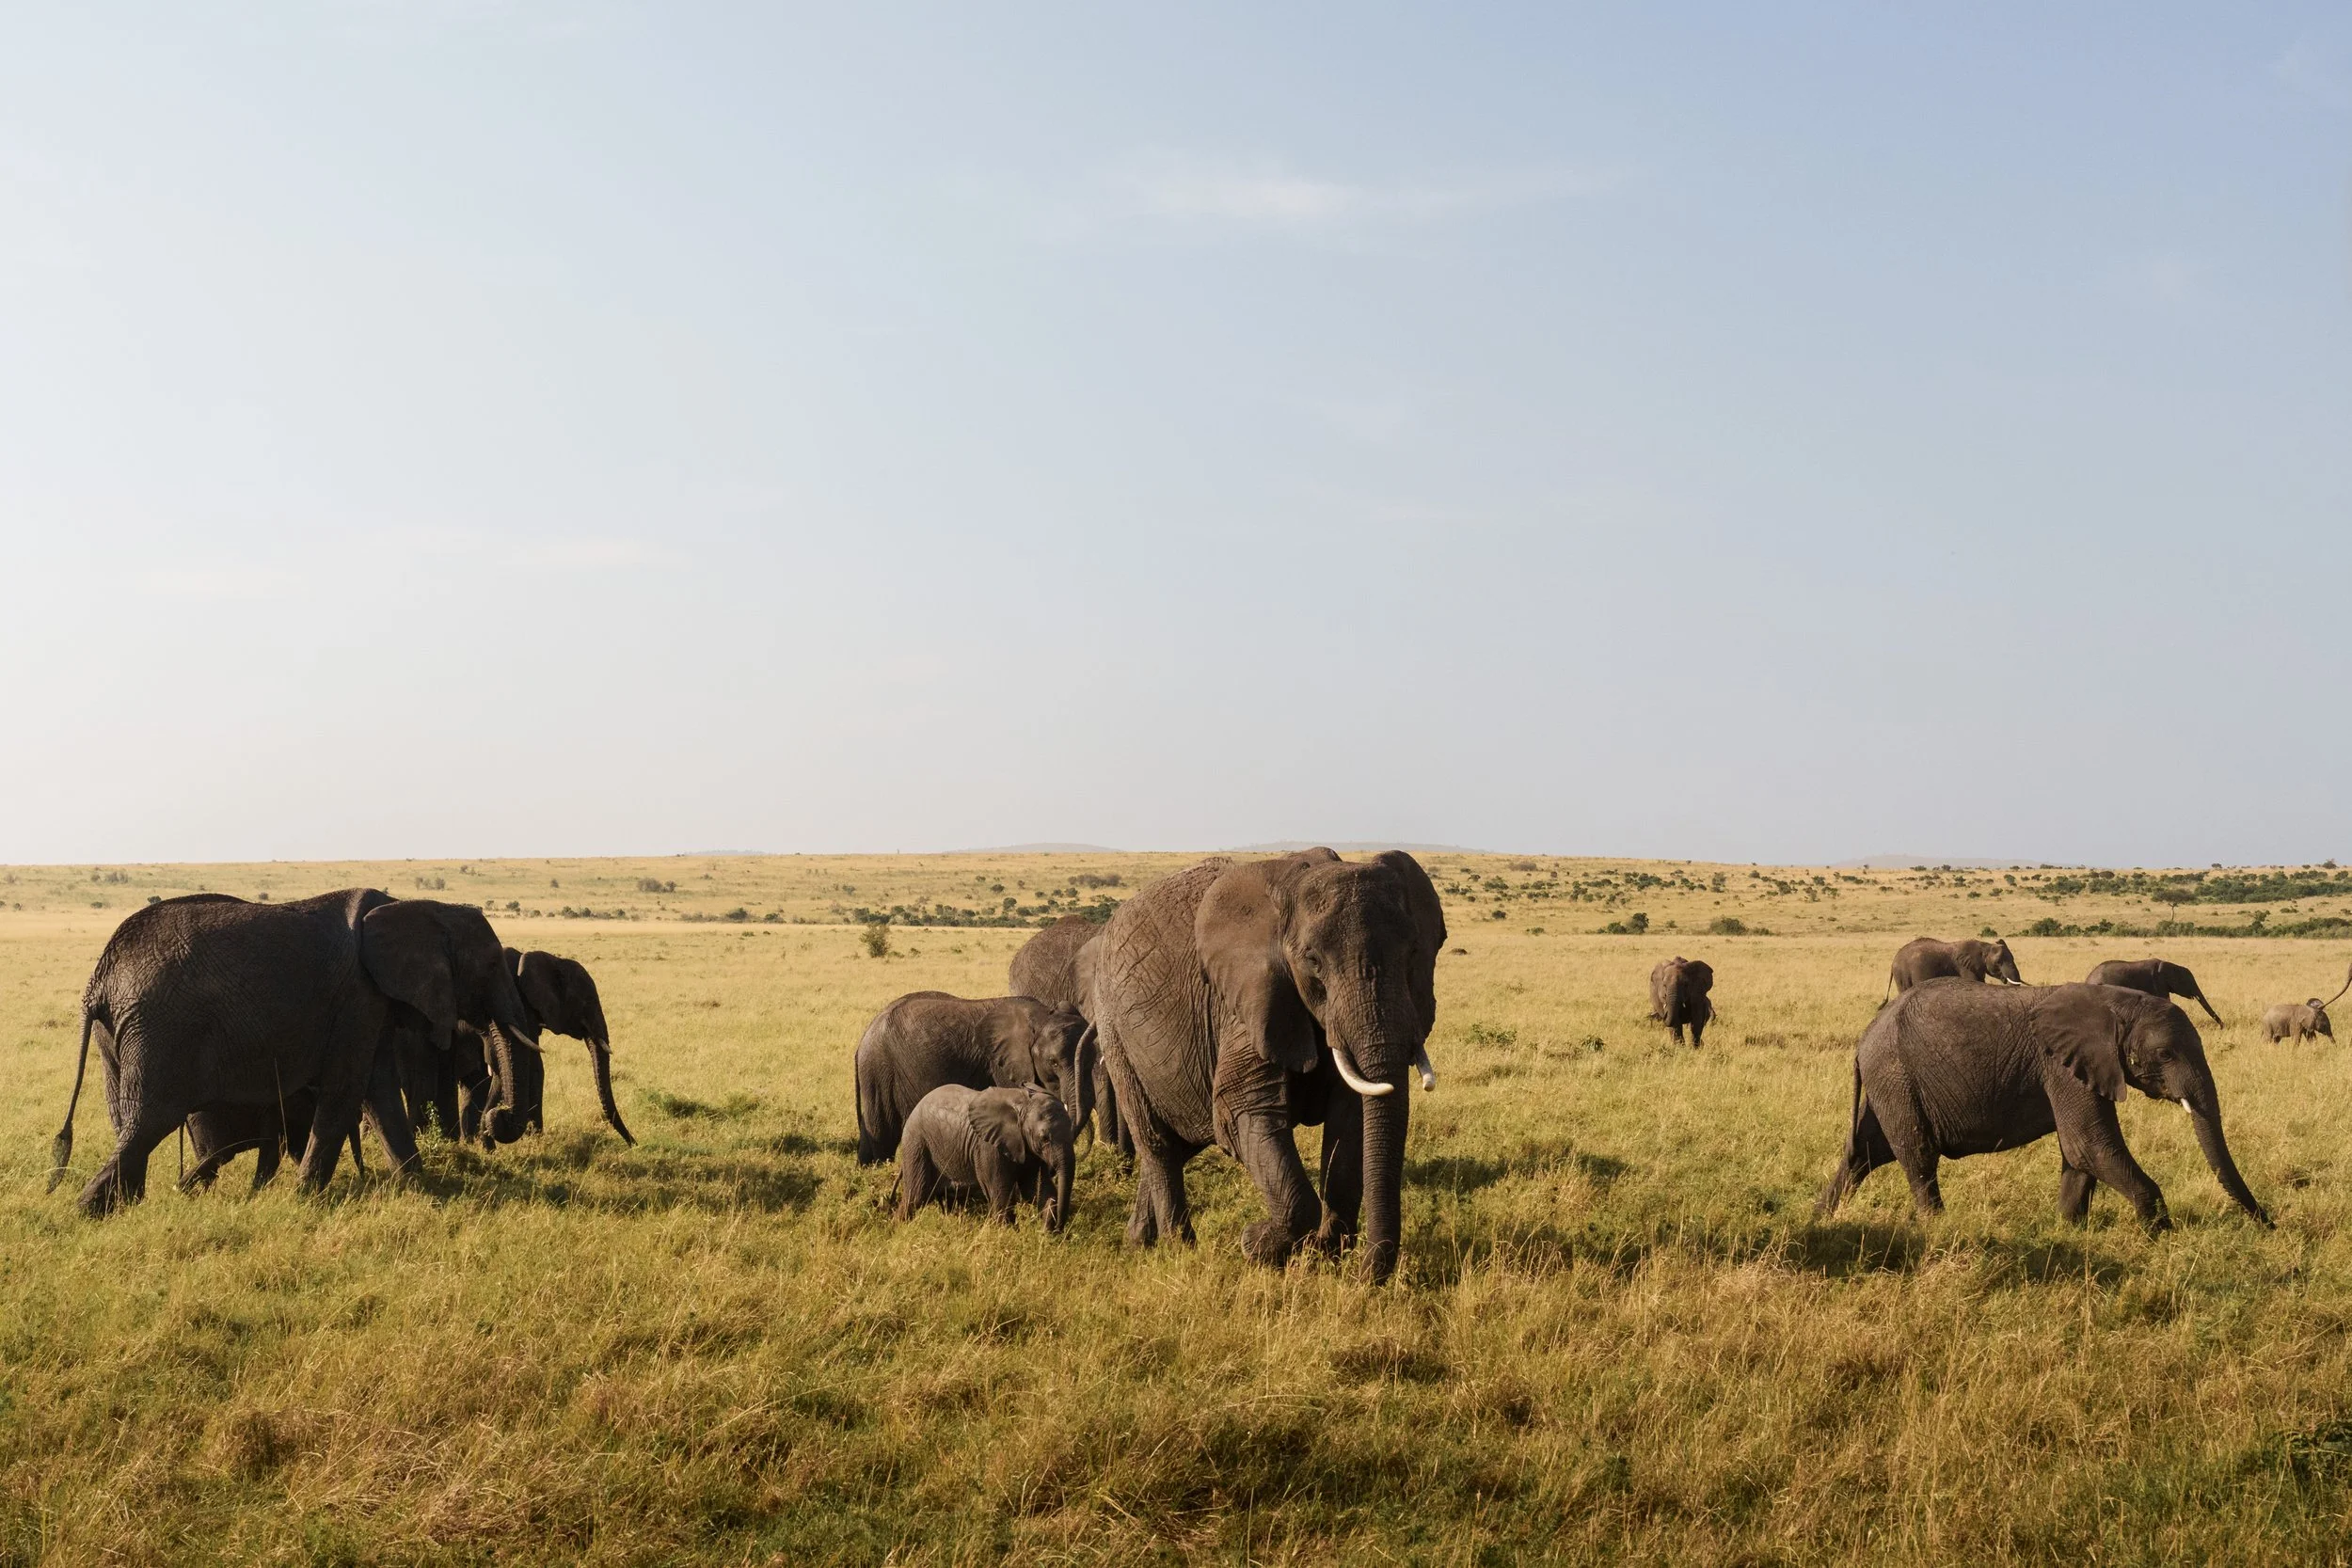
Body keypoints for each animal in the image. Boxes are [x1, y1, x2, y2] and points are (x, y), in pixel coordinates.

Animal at [53, 890, 539, 1215]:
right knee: (149, 1120)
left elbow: (377, 1091)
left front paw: (419, 1184)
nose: (498, 1122)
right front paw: (306, 1197)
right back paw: (91, 1213)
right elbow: (347, 1091)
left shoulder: (370, 1003)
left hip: (118, 1036)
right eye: (491, 965)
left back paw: (126, 1206)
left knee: (127, 1122)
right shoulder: (358, 998)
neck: (422, 907)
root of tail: (99, 980)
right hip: (159, 1031)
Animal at [853, 992, 1092, 1164]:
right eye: (1053, 1062)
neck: (1041, 1015)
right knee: (882, 1129)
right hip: (879, 1069)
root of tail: (864, 1036)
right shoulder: (1000, 1064)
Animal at [894, 1083, 1075, 1231]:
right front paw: (1007, 1235)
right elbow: (1000, 1193)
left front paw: (1046, 1232)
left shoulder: (1030, 1150)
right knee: (915, 1196)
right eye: (1044, 1138)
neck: (1021, 1104)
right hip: (917, 1144)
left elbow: (1036, 1188)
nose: (1059, 1230)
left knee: (949, 1200)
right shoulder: (988, 1147)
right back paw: (900, 1230)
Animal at [1091, 850, 1445, 1283]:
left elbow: (1350, 1121)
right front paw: (1257, 1243)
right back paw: (1179, 1247)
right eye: (1312, 961)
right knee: (1157, 1144)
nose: (1365, 1277)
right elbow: (1243, 1110)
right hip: (1114, 1028)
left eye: (1413, 953)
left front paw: (1325, 1256)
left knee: (1177, 1146)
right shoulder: (1246, 1004)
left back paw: (1140, 1241)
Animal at [1816, 979, 2270, 1233]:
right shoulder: (2063, 1065)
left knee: (1863, 1153)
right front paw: (2159, 1235)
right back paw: (1938, 1227)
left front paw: (2068, 1231)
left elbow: (2078, 1153)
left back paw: (1820, 1218)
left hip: (1888, 1083)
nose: (2270, 1224)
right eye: (2165, 1054)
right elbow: (2090, 1145)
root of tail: (1864, 1039)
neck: (2113, 1002)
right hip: (1896, 1076)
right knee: (1917, 1154)